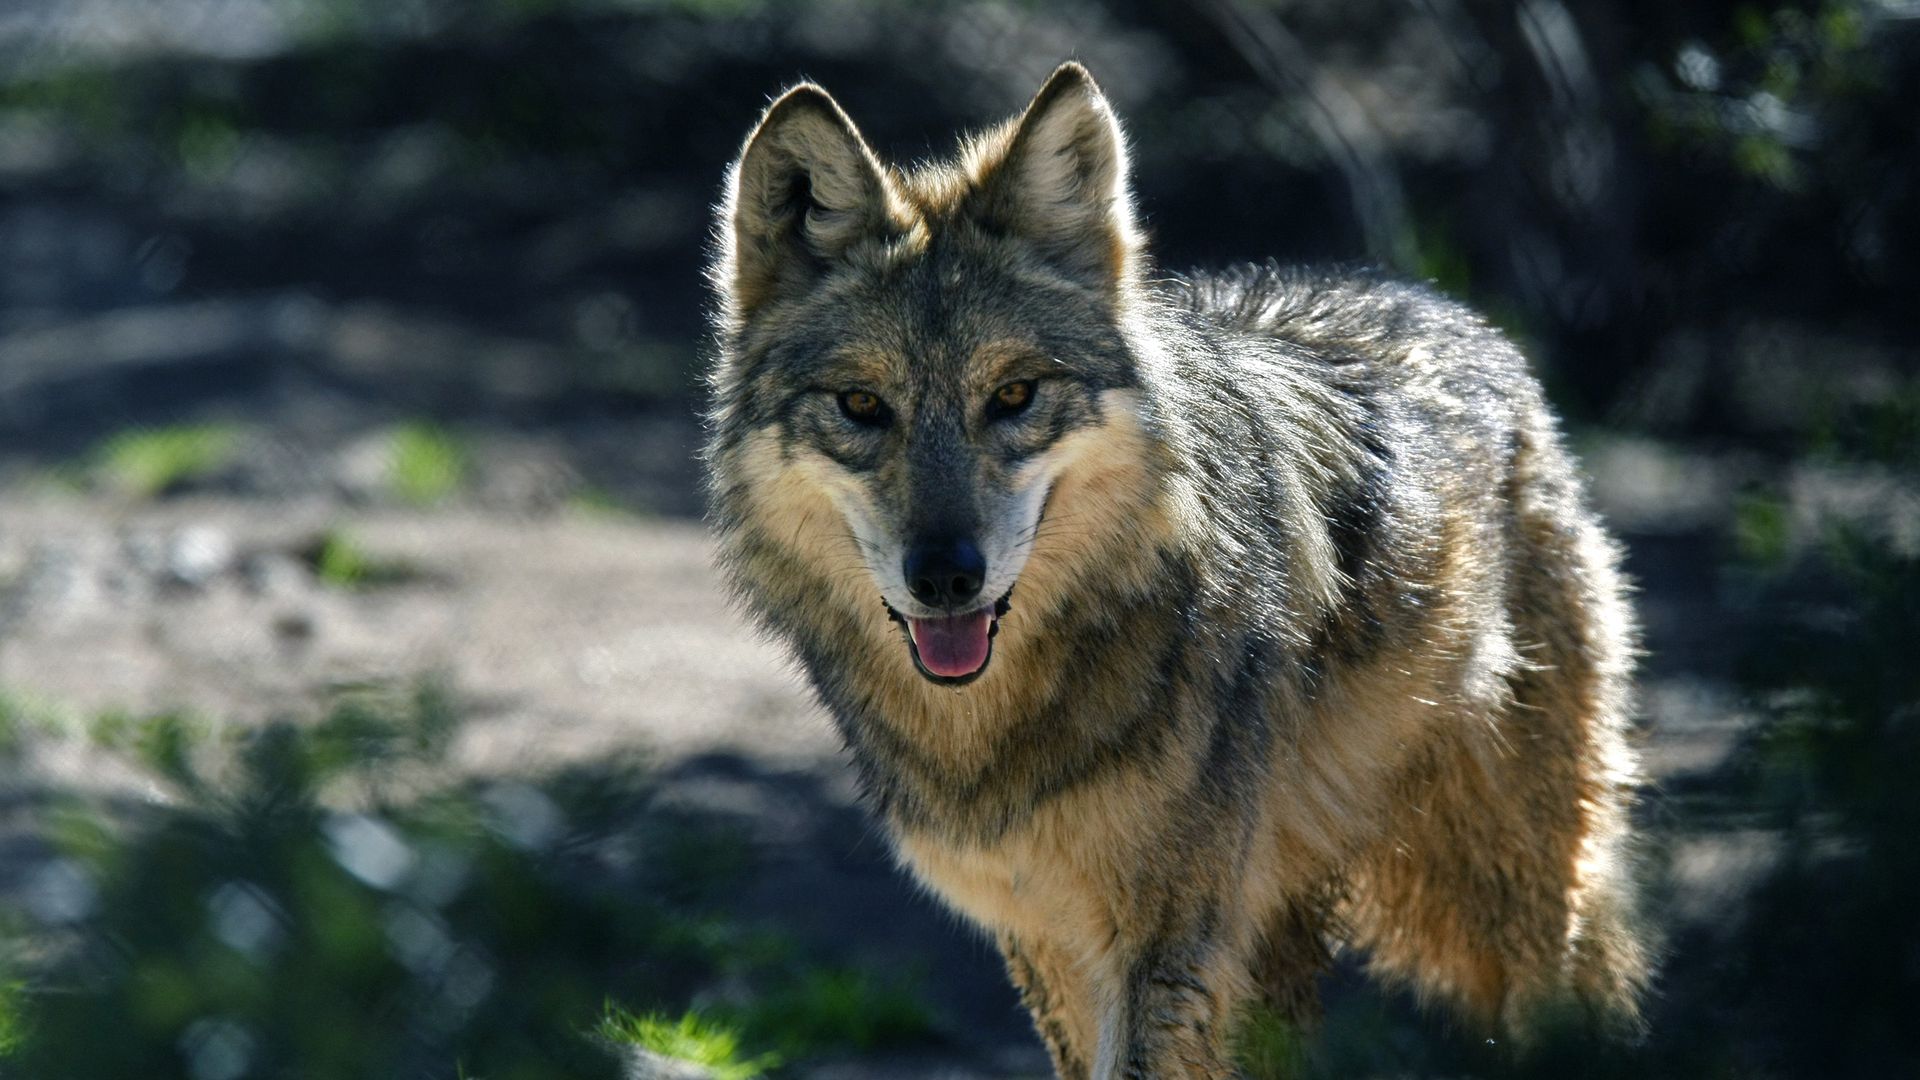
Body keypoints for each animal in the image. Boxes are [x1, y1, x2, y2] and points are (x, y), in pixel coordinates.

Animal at [704, 62, 1650, 1078]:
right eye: (861, 405)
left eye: (1013, 396)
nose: (947, 577)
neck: (998, 734)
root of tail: (1456, 310)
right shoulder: (1045, 937)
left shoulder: (1166, 939)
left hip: (1499, 895)